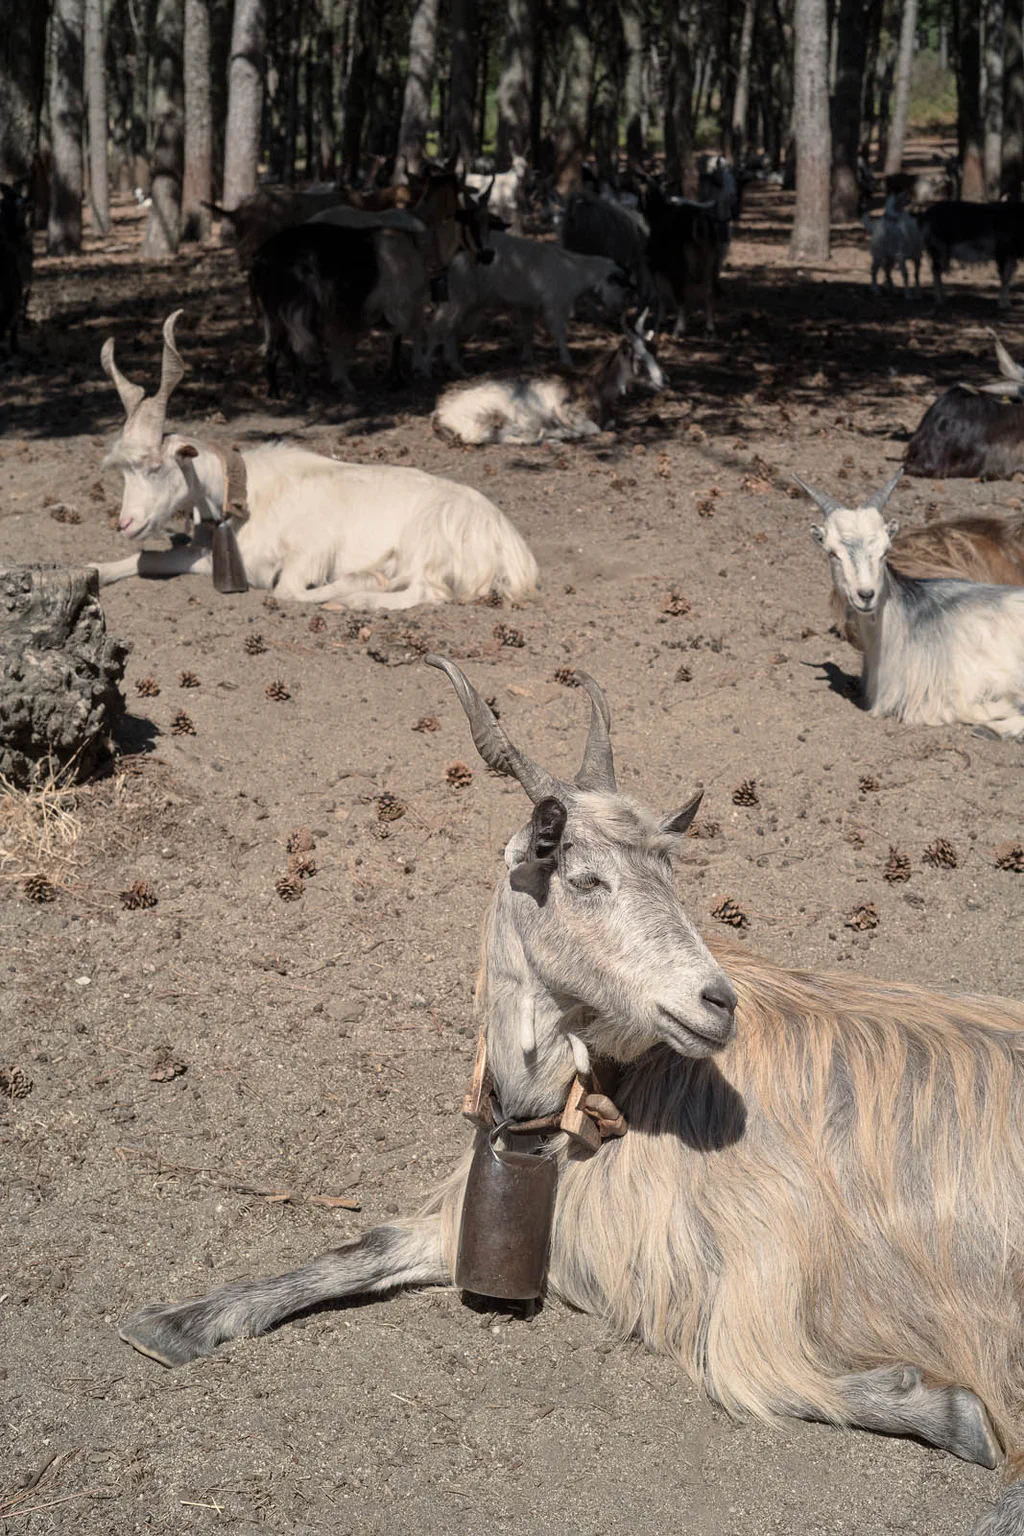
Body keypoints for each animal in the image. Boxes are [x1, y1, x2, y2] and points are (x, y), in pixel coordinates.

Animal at [90, 311, 539, 609]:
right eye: (124, 471)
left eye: (156, 466)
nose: (126, 523)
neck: (248, 493)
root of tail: (515, 554)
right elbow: (148, 560)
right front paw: (96, 570)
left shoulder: (310, 552)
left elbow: (287, 591)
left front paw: (361, 579)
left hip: (425, 543)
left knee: (427, 590)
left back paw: (362, 595)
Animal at [118, 654, 1024, 1536]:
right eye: (584, 878)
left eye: (672, 877)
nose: (715, 1003)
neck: (596, 1104)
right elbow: (365, 1246)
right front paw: (181, 1320)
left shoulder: (759, 1263)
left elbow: (751, 1375)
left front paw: (952, 1415)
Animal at [425, 232, 633, 374]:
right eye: (621, 286)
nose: (619, 310)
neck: (577, 272)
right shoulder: (555, 304)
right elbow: (559, 333)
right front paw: (567, 361)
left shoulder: (527, 305)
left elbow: (528, 331)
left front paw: (528, 359)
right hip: (460, 292)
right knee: (439, 326)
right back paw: (427, 367)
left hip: (467, 299)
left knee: (451, 328)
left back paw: (455, 366)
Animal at [431, 313, 664, 445]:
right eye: (639, 357)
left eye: (655, 352)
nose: (664, 381)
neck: (592, 383)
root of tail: (440, 410)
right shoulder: (564, 410)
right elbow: (593, 428)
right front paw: (564, 432)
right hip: (488, 414)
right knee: (481, 436)